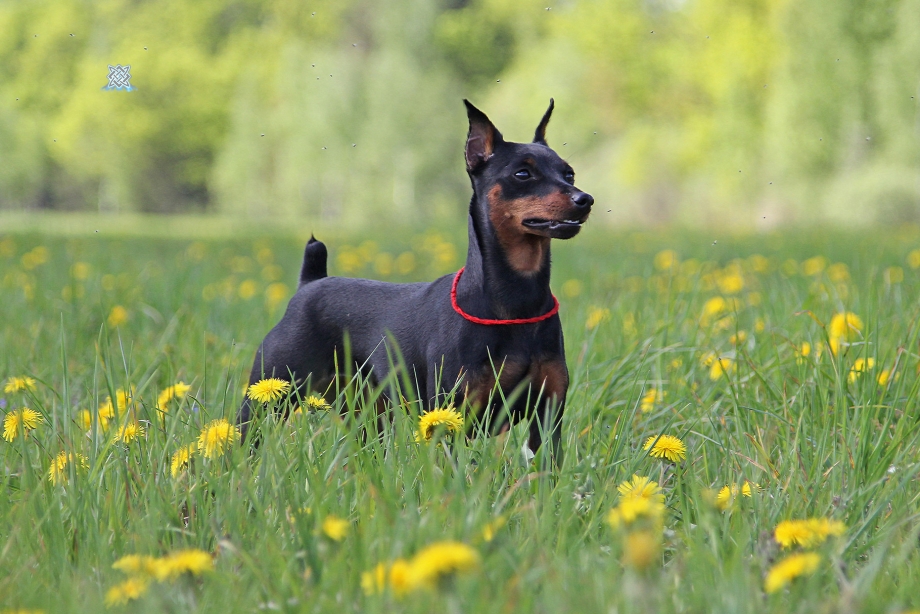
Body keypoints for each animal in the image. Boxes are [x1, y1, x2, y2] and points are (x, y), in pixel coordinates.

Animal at [237, 98, 592, 460]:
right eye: (523, 173)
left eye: (569, 174)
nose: (585, 199)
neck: (514, 303)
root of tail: (310, 283)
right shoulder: (452, 415)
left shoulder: (547, 415)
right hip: (270, 392)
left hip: (367, 409)